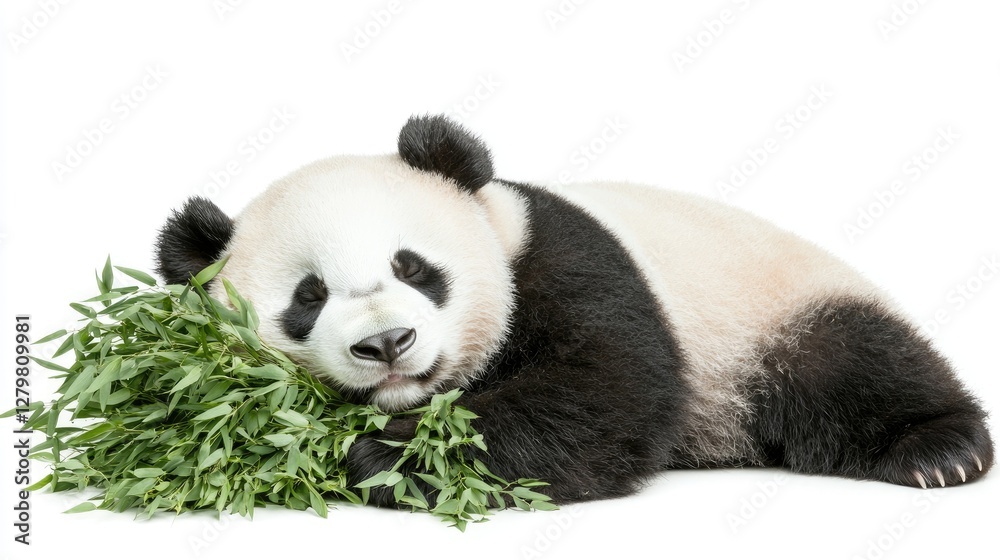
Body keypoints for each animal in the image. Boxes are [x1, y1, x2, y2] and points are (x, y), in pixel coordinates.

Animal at [156, 114, 993, 505]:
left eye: (413, 267)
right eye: (310, 297)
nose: (389, 343)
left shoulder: (562, 258)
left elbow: (607, 386)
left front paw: (385, 457)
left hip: (769, 304)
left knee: (851, 360)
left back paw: (940, 451)